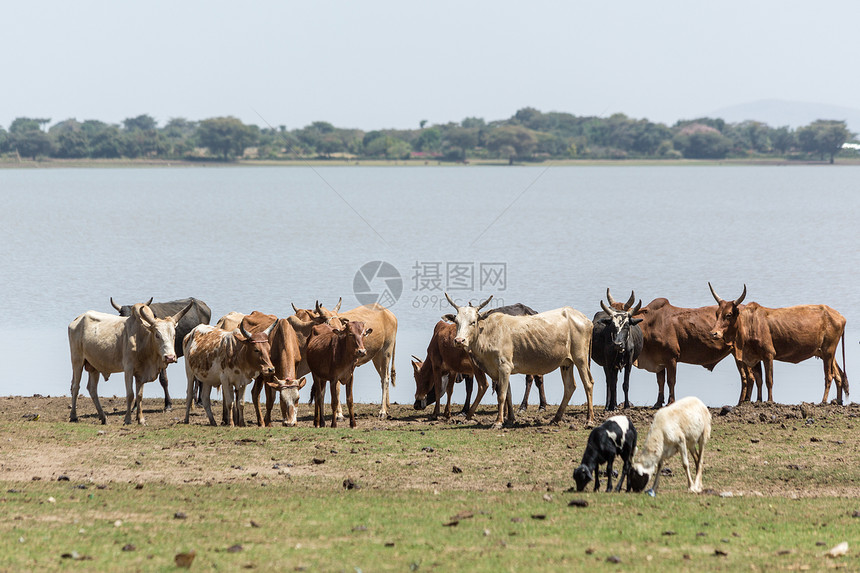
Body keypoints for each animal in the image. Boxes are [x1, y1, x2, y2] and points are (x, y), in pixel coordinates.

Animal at [704, 284, 848, 404]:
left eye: (728, 314)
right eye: (717, 313)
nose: (713, 333)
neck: (749, 324)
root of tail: (840, 317)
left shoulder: (768, 355)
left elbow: (769, 380)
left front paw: (770, 401)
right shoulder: (755, 357)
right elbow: (759, 379)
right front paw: (759, 401)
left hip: (828, 351)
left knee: (829, 376)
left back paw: (823, 401)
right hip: (826, 353)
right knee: (838, 375)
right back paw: (838, 401)